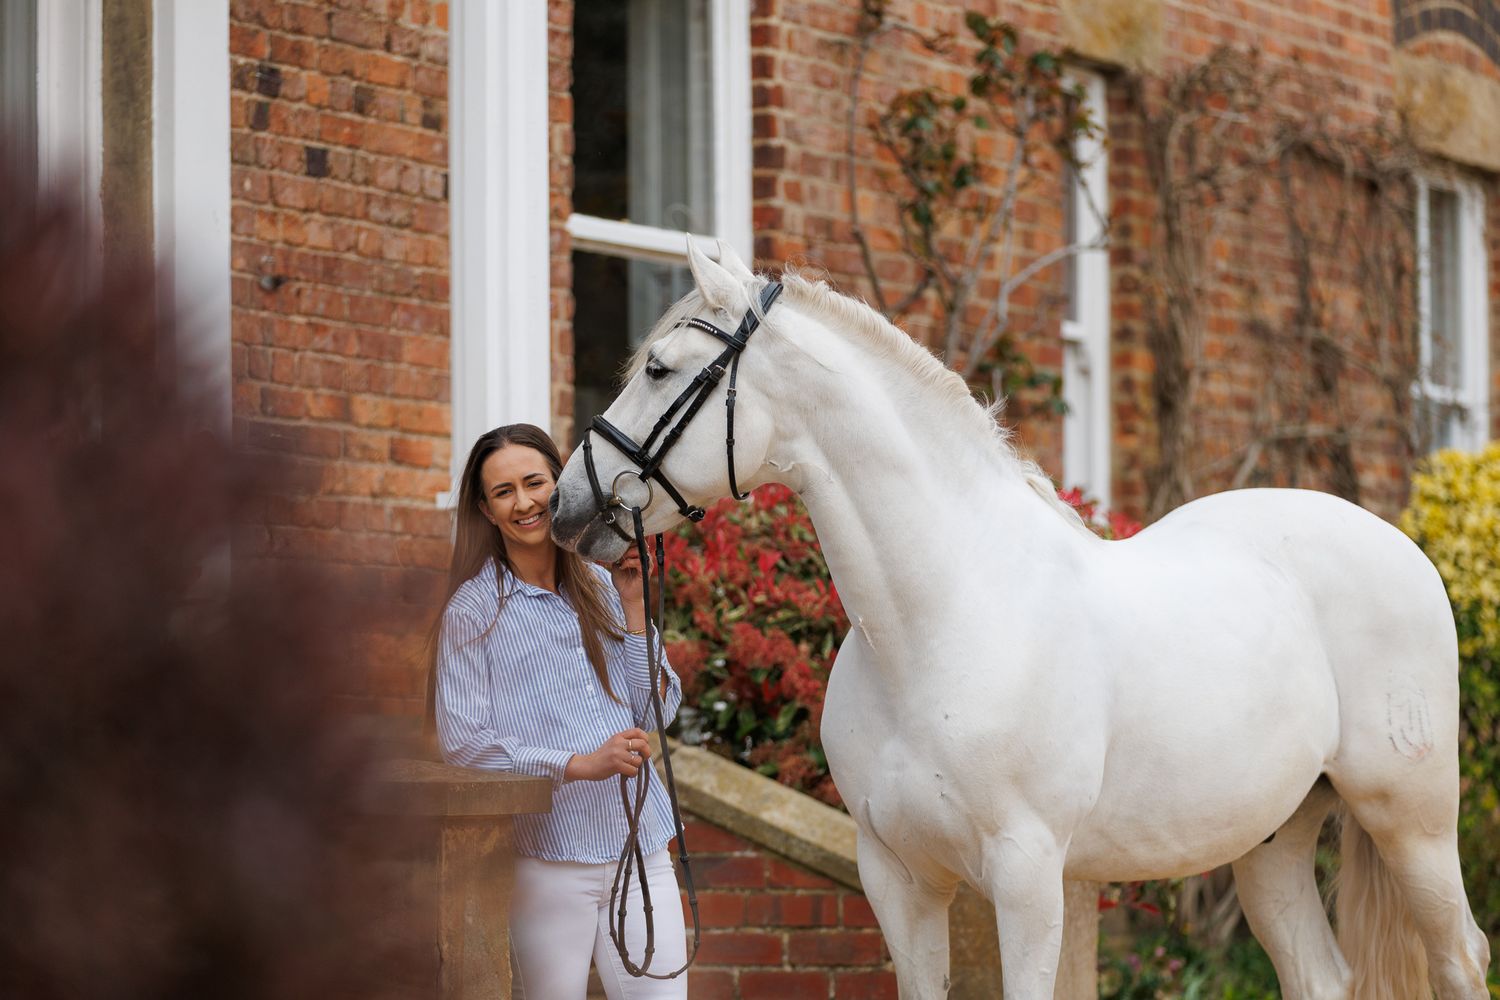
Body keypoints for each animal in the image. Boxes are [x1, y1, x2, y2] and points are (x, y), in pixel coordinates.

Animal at [548, 239, 1491, 999]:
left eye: (660, 368)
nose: (566, 505)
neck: (941, 624)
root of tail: (1399, 547)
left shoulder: (1030, 876)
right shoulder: (896, 876)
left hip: (1412, 823)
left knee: (1460, 959)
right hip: (1272, 841)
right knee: (1320, 976)